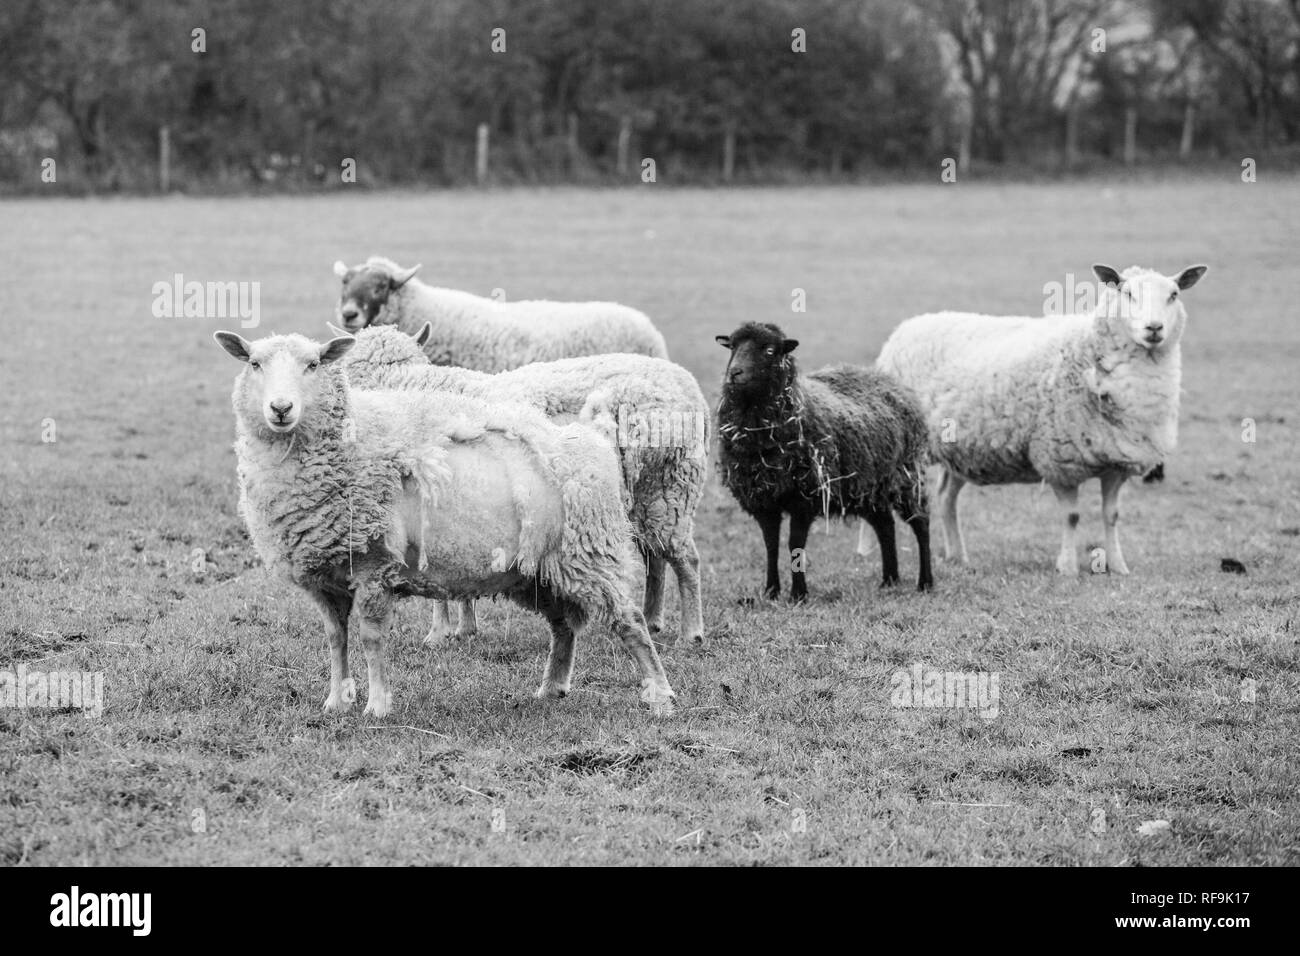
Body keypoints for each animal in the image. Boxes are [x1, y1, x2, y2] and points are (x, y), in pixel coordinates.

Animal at [343, 325, 712, 647]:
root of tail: (687, 384)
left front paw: (438, 633)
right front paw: (464, 628)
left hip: (670, 485)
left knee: (686, 559)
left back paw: (691, 632)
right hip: (647, 495)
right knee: (657, 557)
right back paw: (653, 619)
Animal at [712, 325, 935, 600]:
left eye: (770, 350)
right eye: (732, 347)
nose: (734, 373)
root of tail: (891, 383)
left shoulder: (804, 497)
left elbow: (795, 544)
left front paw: (798, 594)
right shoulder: (762, 499)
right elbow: (770, 545)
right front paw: (771, 591)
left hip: (907, 477)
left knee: (921, 523)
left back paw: (925, 582)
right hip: (868, 488)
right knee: (885, 526)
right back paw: (889, 580)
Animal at [873, 264, 1206, 574]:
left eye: (1174, 295)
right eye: (1127, 293)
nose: (1154, 328)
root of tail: (909, 326)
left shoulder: (1116, 462)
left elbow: (1111, 516)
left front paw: (1118, 566)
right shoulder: (1058, 458)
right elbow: (1071, 516)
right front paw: (1067, 567)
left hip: (959, 450)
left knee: (946, 497)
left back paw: (958, 556)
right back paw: (868, 551)